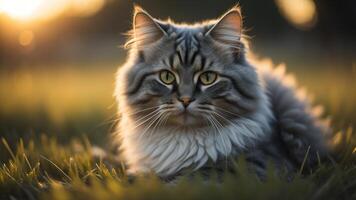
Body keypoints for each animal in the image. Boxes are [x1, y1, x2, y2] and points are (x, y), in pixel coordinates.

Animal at [114, 5, 330, 179]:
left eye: (207, 78)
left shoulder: (253, 166)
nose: (185, 100)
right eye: (167, 77)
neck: (185, 139)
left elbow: (183, 180)